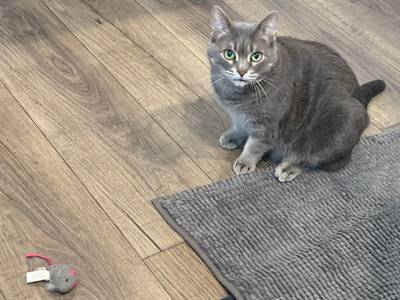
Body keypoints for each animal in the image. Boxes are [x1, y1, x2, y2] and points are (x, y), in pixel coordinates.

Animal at [206, 5, 384, 182]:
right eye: (229, 54)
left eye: (256, 56)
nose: (241, 71)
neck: (236, 95)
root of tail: (359, 95)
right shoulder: (237, 115)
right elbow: (239, 126)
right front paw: (234, 136)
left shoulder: (267, 124)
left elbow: (255, 145)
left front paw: (245, 161)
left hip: (340, 124)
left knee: (325, 159)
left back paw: (289, 167)